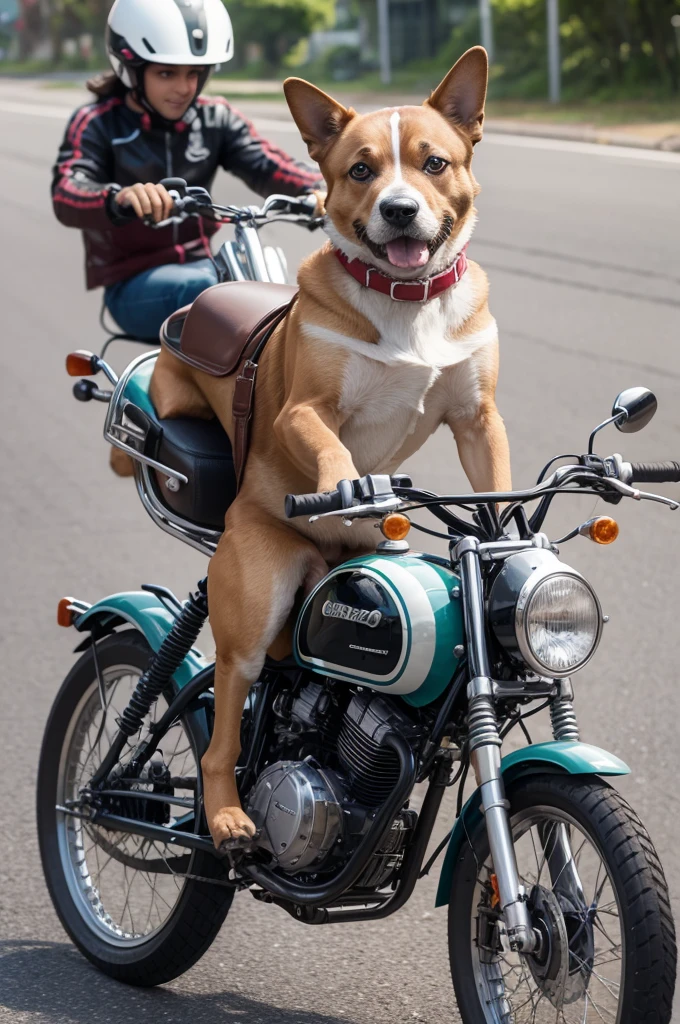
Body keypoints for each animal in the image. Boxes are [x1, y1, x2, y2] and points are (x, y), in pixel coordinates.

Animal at [148, 46, 510, 847]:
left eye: (434, 162)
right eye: (361, 170)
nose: (399, 209)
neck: (407, 300)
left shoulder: (478, 420)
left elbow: (497, 489)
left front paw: (511, 538)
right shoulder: (304, 412)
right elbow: (332, 449)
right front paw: (351, 491)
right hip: (257, 602)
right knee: (222, 726)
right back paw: (226, 815)